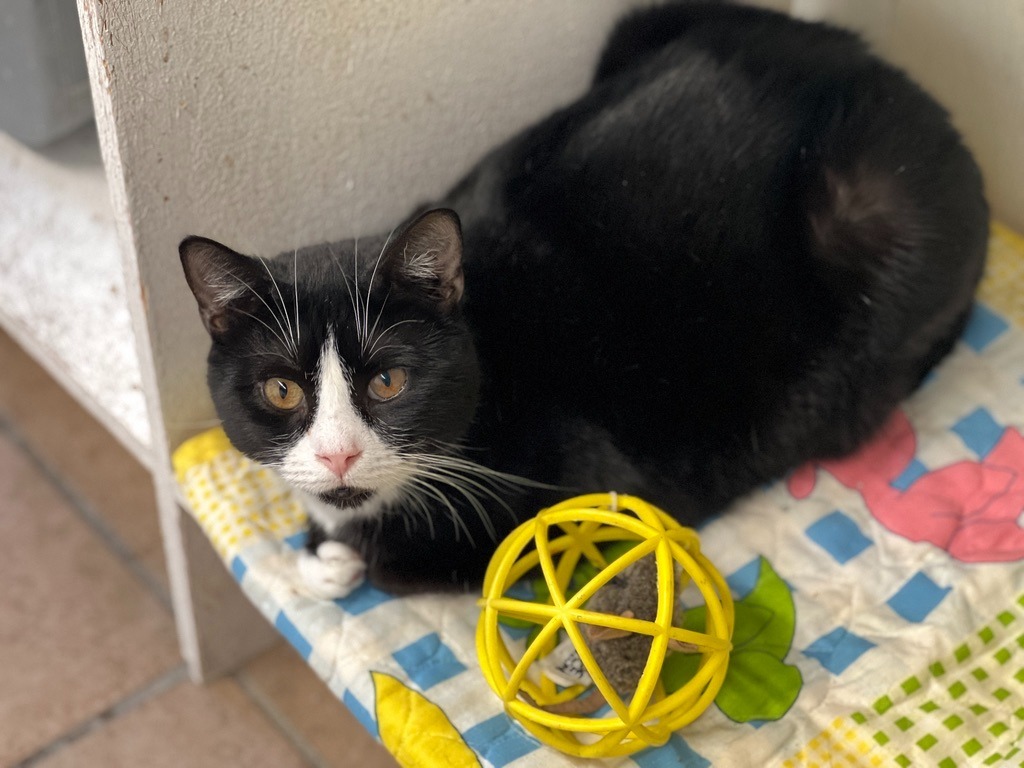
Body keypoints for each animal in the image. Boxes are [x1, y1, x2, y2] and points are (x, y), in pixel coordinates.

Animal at [180, 3, 987, 598]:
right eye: (281, 390)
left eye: (389, 381)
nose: (339, 455)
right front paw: (324, 548)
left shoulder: (585, 486)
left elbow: (421, 561)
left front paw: (340, 554)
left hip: (874, 209)